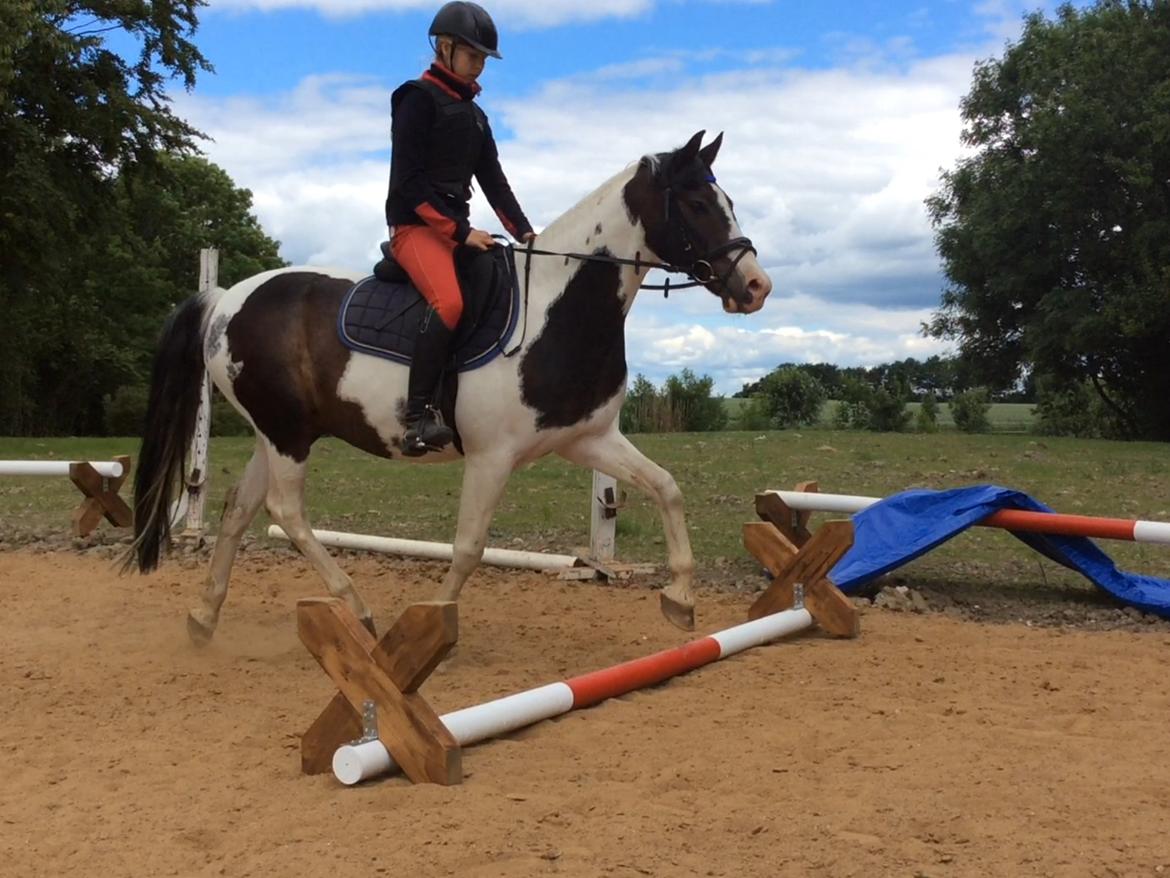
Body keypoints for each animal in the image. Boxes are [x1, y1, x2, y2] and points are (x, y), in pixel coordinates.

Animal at [128, 130, 772, 644]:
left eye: (729, 202)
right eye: (697, 203)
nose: (756, 285)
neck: (555, 309)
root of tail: (224, 299)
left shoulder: (586, 439)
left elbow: (667, 488)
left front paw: (680, 600)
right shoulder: (492, 457)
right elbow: (468, 546)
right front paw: (431, 620)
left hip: (277, 433)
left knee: (240, 509)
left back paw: (204, 617)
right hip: (286, 433)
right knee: (286, 512)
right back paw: (356, 610)